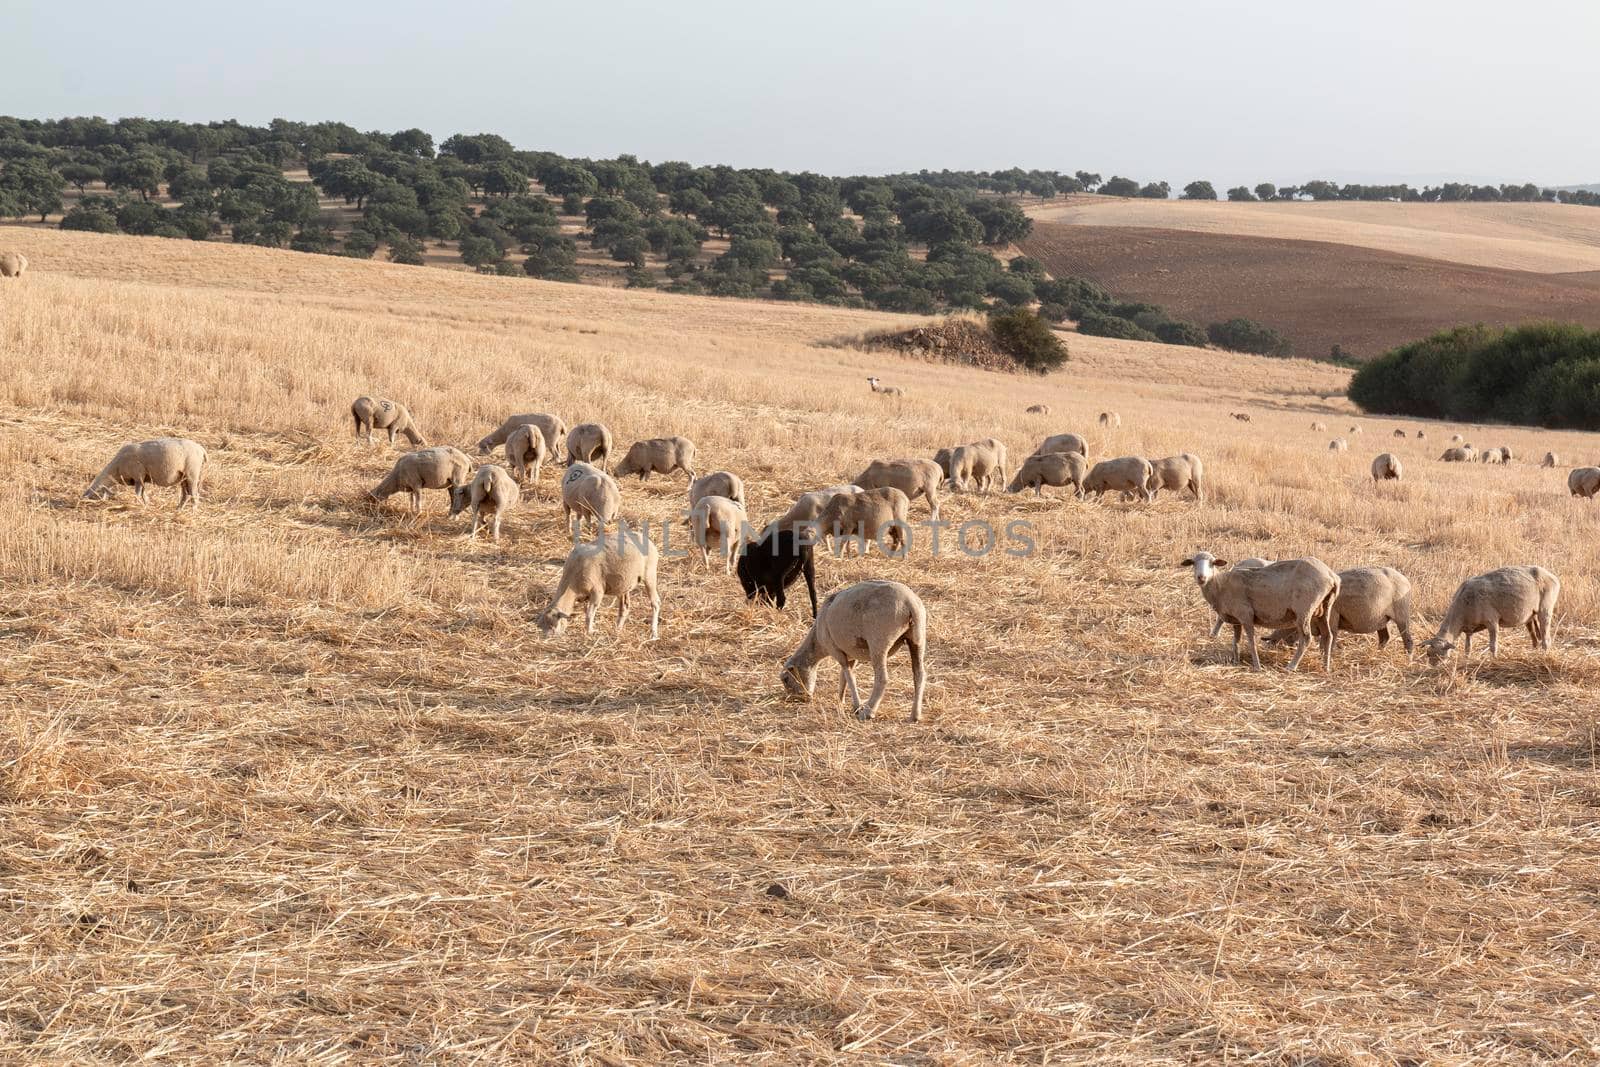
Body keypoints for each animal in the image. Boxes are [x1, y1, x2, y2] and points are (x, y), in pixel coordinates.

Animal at [777, 585, 928, 726]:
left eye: (786, 679)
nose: (798, 700)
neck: (817, 642)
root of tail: (910, 603)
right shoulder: (850, 654)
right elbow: (844, 676)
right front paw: (841, 700)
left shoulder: (835, 650)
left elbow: (849, 676)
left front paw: (856, 706)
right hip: (918, 638)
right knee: (919, 674)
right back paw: (915, 715)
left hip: (879, 641)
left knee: (882, 678)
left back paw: (868, 711)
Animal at [1184, 556, 1344, 671]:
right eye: (1193, 563)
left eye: (1212, 563)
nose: (1201, 577)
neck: (1220, 586)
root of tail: (1331, 576)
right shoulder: (1236, 619)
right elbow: (1236, 641)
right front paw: (1235, 661)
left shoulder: (1246, 614)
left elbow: (1251, 641)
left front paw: (1257, 666)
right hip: (1324, 609)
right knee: (1328, 635)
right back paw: (1326, 666)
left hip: (1304, 610)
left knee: (1306, 638)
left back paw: (1291, 666)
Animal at [1420, 563, 1555, 662]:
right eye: (1428, 653)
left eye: (1441, 655)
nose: (1433, 666)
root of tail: (1551, 576)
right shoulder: (1469, 628)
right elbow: (1468, 646)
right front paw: (1467, 659)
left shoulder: (1492, 621)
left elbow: (1493, 645)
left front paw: (1494, 659)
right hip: (1530, 615)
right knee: (1534, 638)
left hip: (1545, 609)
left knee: (1546, 638)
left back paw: (1544, 655)